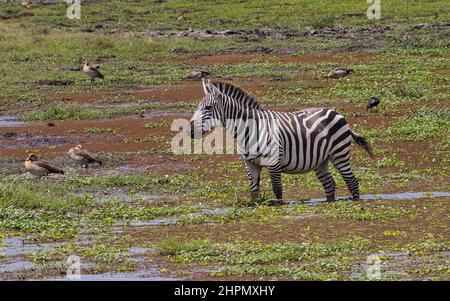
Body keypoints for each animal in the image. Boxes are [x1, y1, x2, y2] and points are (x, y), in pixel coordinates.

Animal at [189, 79, 372, 202]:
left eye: (208, 108)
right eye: (198, 107)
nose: (190, 130)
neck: (248, 130)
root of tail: (336, 112)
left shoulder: (274, 162)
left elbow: (277, 189)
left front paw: (279, 205)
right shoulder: (250, 164)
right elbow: (253, 191)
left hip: (339, 153)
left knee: (351, 181)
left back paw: (355, 199)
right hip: (321, 160)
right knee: (330, 184)